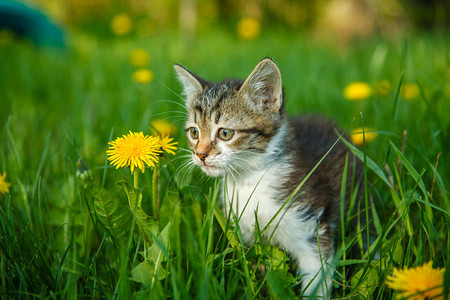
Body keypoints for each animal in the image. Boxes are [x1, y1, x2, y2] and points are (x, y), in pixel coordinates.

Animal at [174, 58, 360, 298]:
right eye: (194, 132)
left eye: (225, 133)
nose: (200, 155)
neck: (250, 180)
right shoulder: (247, 235)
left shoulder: (311, 229)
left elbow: (316, 275)